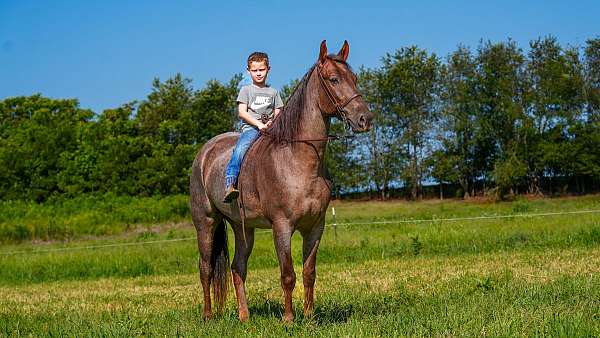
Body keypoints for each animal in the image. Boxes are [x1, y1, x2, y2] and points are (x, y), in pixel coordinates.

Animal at [190, 40, 372, 322]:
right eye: (334, 79)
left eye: (354, 79)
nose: (365, 119)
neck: (299, 160)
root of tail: (204, 153)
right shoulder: (282, 227)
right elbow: (288, 274)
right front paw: (289, 319)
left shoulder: (315, 227)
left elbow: (309, 273)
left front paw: (309, 318)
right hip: (206, 223)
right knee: (205, 269)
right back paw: (208, 316)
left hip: (243, 228)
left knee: (237, 267)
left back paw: (245, 317)